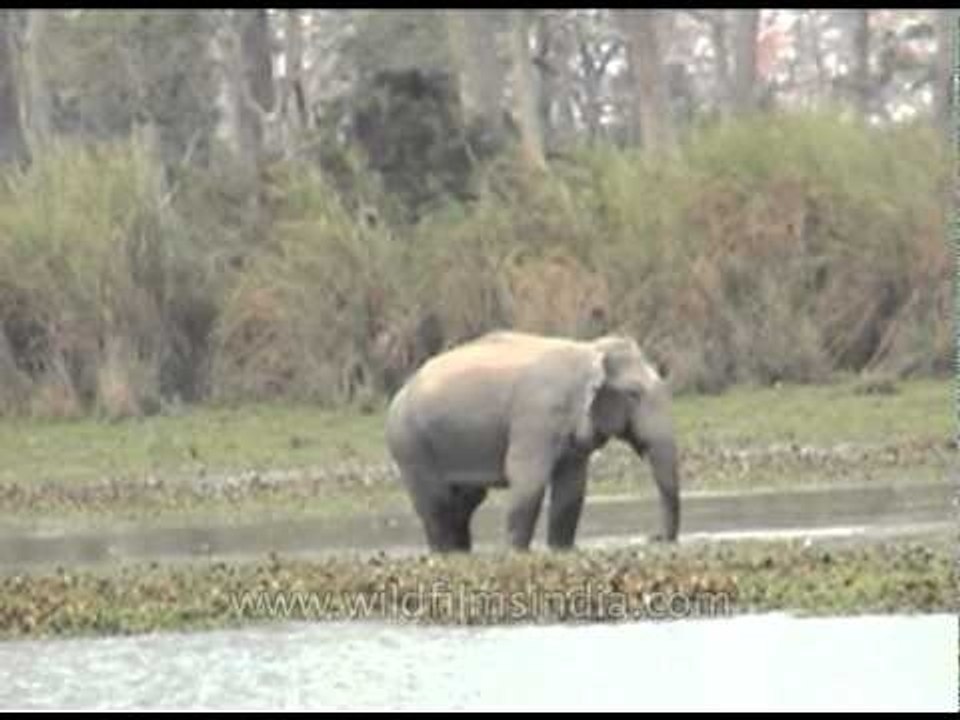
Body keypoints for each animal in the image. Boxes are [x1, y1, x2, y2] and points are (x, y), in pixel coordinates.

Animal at [384, 330, 680, 553]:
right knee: (436, 502)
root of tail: (401, 391)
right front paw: (516, 552)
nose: (654, 537)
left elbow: (572, 487)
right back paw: (445, 552)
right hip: (410, 443)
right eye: (634, 394)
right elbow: (528, 478)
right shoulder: (535, 417)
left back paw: (462, 552)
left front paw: (561, 550)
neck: (587, 350)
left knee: (466, 500)